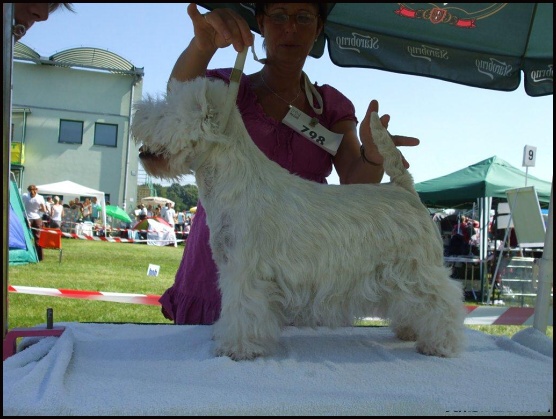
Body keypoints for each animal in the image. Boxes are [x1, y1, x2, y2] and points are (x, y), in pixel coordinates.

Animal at [132, 58, 466, 360]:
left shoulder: (246, 270)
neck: (230, 180)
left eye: (166, 110)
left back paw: (441, 344)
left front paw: (236, 348)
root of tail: (404, 189)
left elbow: (242, 310)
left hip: (416, 267)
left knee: (444, 298)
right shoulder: (230, 265)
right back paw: (410, 331)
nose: (137, 114)